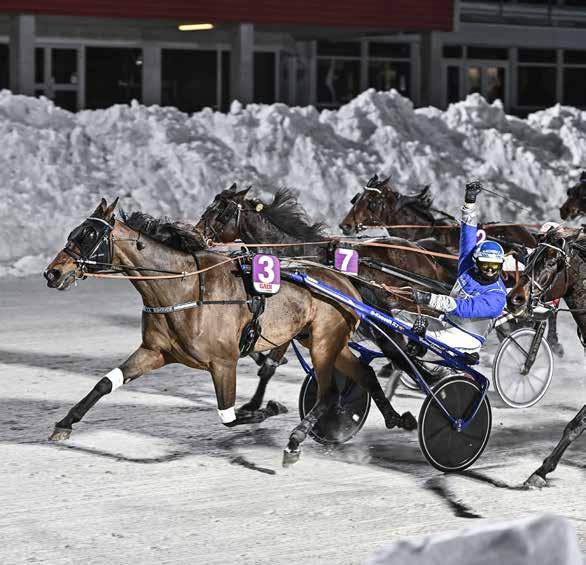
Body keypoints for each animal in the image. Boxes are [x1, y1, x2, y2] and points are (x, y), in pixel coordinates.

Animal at [44, 196, 416, 464]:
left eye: (90, 236)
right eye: (74, 233)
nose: (53, 272)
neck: (185, 289)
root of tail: (344, 279)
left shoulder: (224, 362)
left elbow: (230, 416)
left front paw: (267, 409)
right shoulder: (155, 352)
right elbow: (106, 383)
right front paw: (65, 424)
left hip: (324, 343)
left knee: (328, 394)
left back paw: (295, 442)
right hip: (324, 342)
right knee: (363, 374)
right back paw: (398, 419)